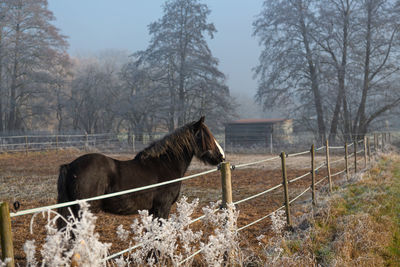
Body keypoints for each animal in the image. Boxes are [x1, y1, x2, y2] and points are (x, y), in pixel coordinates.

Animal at [56, 117, 225, 230]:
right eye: (205, 135)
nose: (222, 156)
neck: (164, 164)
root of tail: (70, 166)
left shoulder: (152, 210)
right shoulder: (162, 208)